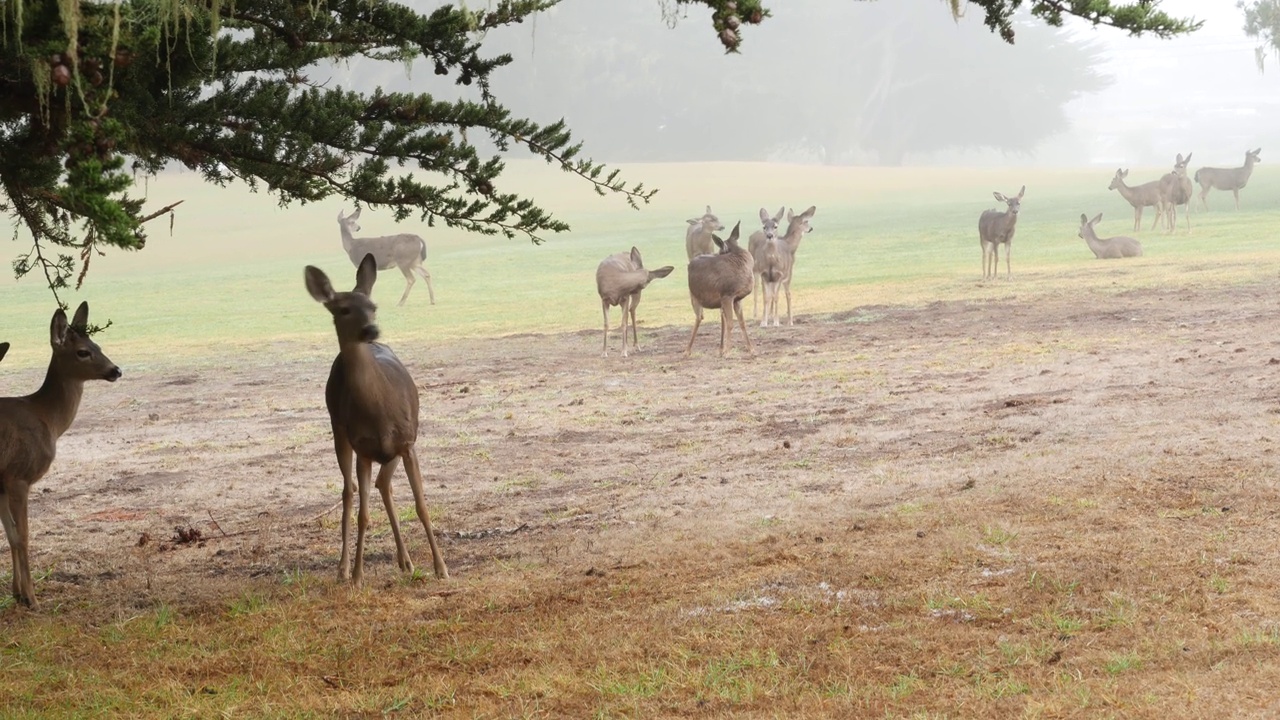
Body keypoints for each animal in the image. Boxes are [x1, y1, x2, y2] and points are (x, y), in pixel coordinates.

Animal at [0, 301, 120, 604]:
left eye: (98, 344)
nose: (116, 370)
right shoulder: (18, 475)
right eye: (82, 352)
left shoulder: (1, 483)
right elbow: (23, 536)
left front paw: (17, 593)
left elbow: (11, 535)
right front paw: (32, 598)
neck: (48, 418)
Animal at [304, 252, 450, 584]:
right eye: (343, 309)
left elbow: (421, 506)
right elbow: (363, 514)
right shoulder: (363, 448)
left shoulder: (407, 442)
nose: (371, 330)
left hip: (392, 449)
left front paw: (441, 568)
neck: (378, 408)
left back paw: (406, 561)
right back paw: (344, 569)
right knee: (349, 492)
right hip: (338, 429)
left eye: (373, 306)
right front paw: (358, 576)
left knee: (385, 485)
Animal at [686, 221, 752, 356]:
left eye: (720, 250)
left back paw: (719, 349)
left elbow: (742, 322)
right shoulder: (727, 294)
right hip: (694, 296)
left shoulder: (737, 299)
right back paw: (687, 350)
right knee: (699, 317)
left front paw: (751, 349)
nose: (716, 253)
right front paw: (728, 351)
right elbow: (731, 323)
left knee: (711, 317)